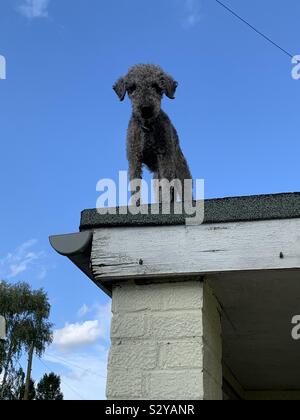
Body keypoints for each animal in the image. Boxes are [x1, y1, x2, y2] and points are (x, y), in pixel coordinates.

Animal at [112, 64, 192, 203]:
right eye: (132, 87)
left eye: (156, 86)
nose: (146, 109)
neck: (148, 128)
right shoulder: (134, 158)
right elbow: (135, 186)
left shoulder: (164, 157)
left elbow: (166, 186)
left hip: (182, 174)